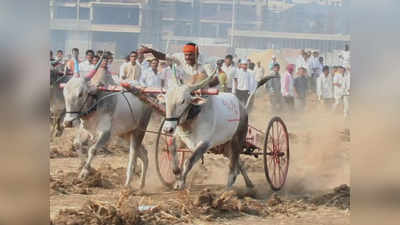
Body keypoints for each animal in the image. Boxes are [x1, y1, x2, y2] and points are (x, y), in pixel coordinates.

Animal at [63, 57, 152, 189]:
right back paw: (141, 185)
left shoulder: (106, 133)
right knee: (144, 154)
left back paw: (128, 183)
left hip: (140, 130)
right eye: (64, 93)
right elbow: (77, 144)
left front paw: (84, 173)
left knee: (133, 154)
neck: (96, 102)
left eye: (80, 94)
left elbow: (93, 149)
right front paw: (87, 169)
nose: (68, 122)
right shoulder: (86, 129)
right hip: (125, 134)